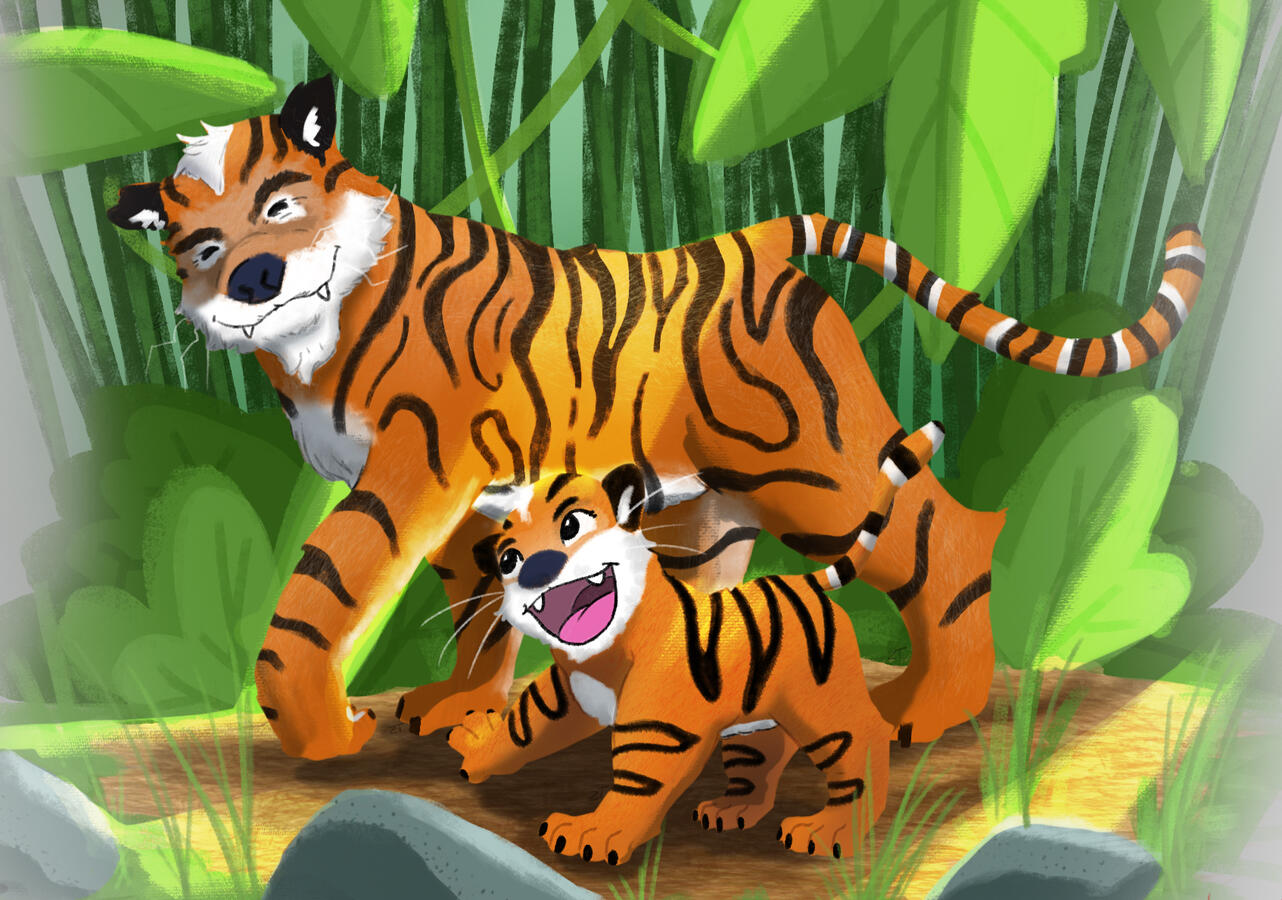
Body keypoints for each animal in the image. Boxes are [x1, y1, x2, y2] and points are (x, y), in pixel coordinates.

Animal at [106, 75, 1207, 762]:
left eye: (279, 205)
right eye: (200, 246)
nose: (252, 276)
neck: (312, 334)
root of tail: (757, 235)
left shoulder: (413, 469)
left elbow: (320, 593)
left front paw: (324, 731)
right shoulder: (471, 500)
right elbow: (478, 602)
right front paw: (461, 705)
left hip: (815, 471)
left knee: (944, 536)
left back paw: (928, 709)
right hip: (704, 508)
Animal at [447, 423, 942, 864]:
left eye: (571, 525)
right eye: (508, 560)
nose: (536, 568)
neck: (596, 656)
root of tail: (803, 579)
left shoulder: (657, 724)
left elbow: (637, 777)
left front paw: (595, 832)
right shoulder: (560, 696)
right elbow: (521, 728)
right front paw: (476, 746)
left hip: (822, 703)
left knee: (861, 739)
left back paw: (830, 829)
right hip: (751, 718)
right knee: (763, 756)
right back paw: (733, 808)